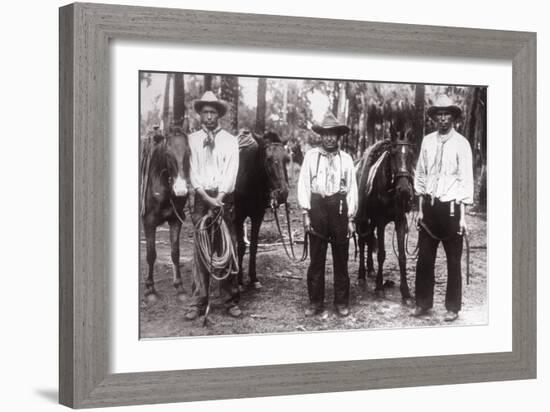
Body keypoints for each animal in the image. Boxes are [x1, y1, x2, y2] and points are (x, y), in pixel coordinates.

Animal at [140, 124, 192, 300]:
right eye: (168, 154)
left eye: (188, 152)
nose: (181, 189)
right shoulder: (148, 222)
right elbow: (151, 254)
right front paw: (150, 289)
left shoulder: (176, 220)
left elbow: (175, 252)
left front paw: (180, 287)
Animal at [235, 130, 292, 292]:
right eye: (268, 159)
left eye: (287, 159)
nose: (282, 193)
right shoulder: (238, 216)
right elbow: (241, 247)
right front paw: (239, 282)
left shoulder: (257, 216)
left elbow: (253, 246)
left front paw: (254, 279)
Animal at [356, 135, 416, 302]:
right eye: (393, 155)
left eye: (411, 156)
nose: (404, 190)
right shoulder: (381, 222)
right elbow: (381, 254)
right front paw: (379, 287)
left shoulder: (400, 221)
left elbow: (402, 256)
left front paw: (406, 292)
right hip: (364, 220)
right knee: (362, 242)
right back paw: (362, 275)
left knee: (369, 239)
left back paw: (370, 269)